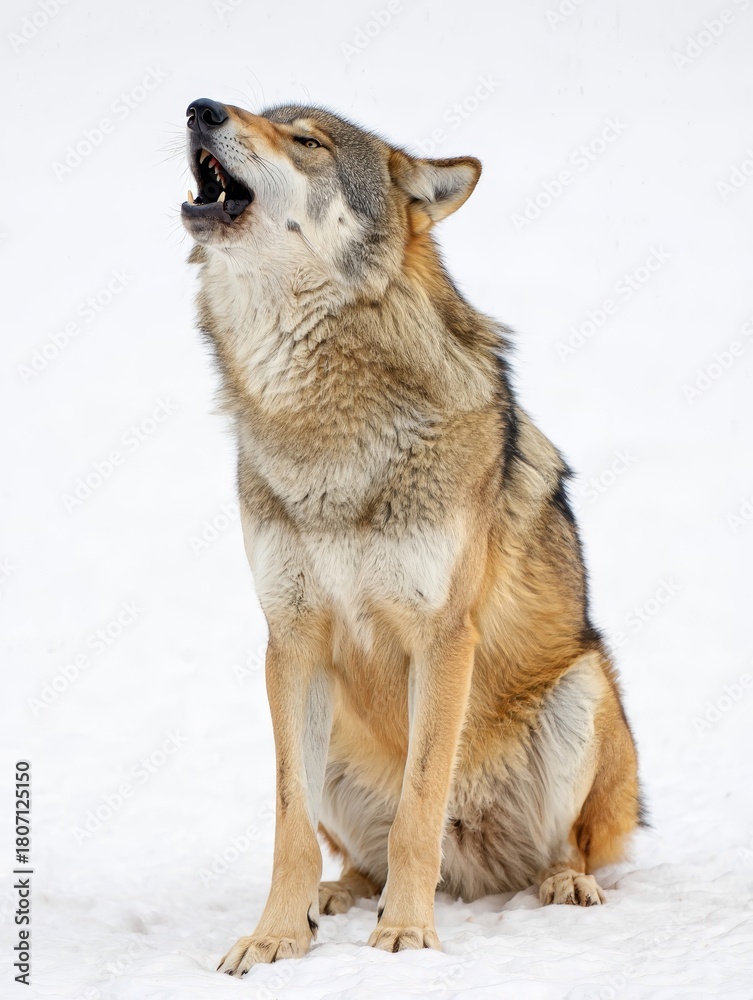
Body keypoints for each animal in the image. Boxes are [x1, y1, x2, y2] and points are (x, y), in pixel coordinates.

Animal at [180, 97, 642, 976]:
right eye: (260, 112)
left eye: (305, 140)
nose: (201, 108)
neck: (323, 427)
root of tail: (477, 870)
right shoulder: (291, 639)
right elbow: (289, 827)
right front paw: (274, 938)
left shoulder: (442, 635)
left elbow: (419, 808)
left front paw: (405, 933)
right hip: (328, 732)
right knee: (350, 848)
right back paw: (339, 896)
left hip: (582, 687)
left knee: (569, 845)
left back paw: (558, 884)